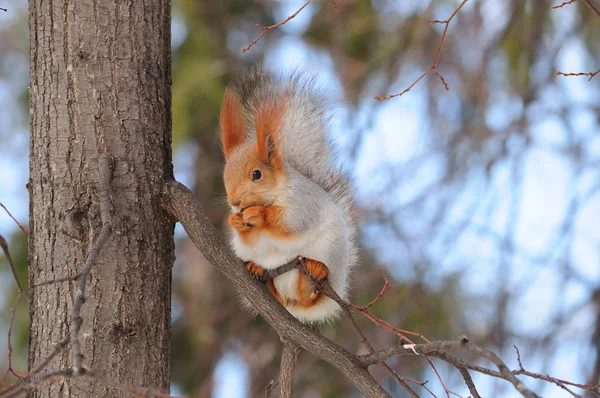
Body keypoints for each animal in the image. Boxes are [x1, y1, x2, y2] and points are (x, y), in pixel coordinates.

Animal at [219, 69, 356, 324]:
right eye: (225, 176)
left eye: (257, 174)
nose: (235, 202)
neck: (273, 194)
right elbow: (250, 239)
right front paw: (236, 221)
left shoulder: (303, 203)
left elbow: (291, 223)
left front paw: (259, 214)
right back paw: (260, 273)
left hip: (329, 255)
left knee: (311, 296)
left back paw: (316, 271)